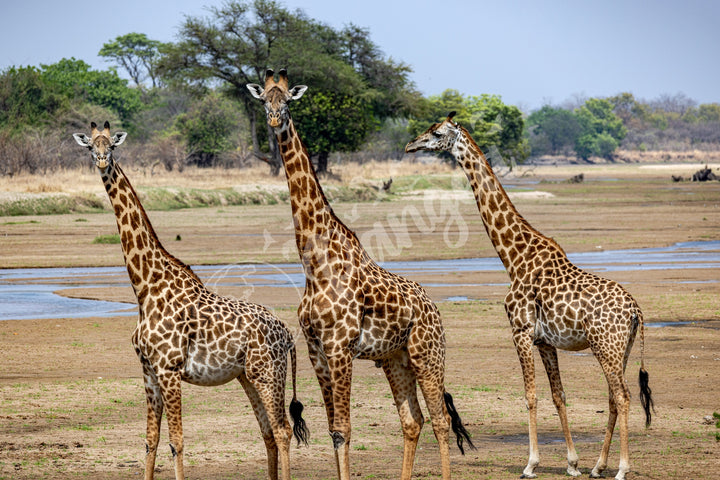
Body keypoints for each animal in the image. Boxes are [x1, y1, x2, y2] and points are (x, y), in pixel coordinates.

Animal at [71, 123, 308, 480]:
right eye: (90, 147)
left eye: (111, 145)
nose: (101, 161)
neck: (145, 288)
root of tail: (288, 335)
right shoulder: (148, 371)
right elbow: (151, 441)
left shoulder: (169, 369)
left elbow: (177, 442)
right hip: (248, 376)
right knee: (267, 431)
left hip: (269, 373)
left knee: (282, 431)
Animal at [248, 70, 472, 480]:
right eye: (263, 99)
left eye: (286, 100)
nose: (273, 119)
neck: (314, 264)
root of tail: (433, 308)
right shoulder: (317, 349)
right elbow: (334, 429)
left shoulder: (341, 348)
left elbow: (344, 429)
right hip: (396, 359)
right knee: (412, 420)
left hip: (428, 353)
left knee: (441, 420)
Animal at [404, 111, 652, 480]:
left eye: (435, 133)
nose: (410, 144)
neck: (513, 258)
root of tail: (636, 310)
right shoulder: (545, 341)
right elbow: (558, 395)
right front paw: (572, 463)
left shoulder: (519, 332)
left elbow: (530, 396)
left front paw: (531, 463)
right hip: (621, 347)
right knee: (612, 396)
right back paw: (598, 466)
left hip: (606, 345)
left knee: (622, 396)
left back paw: (622, 468)